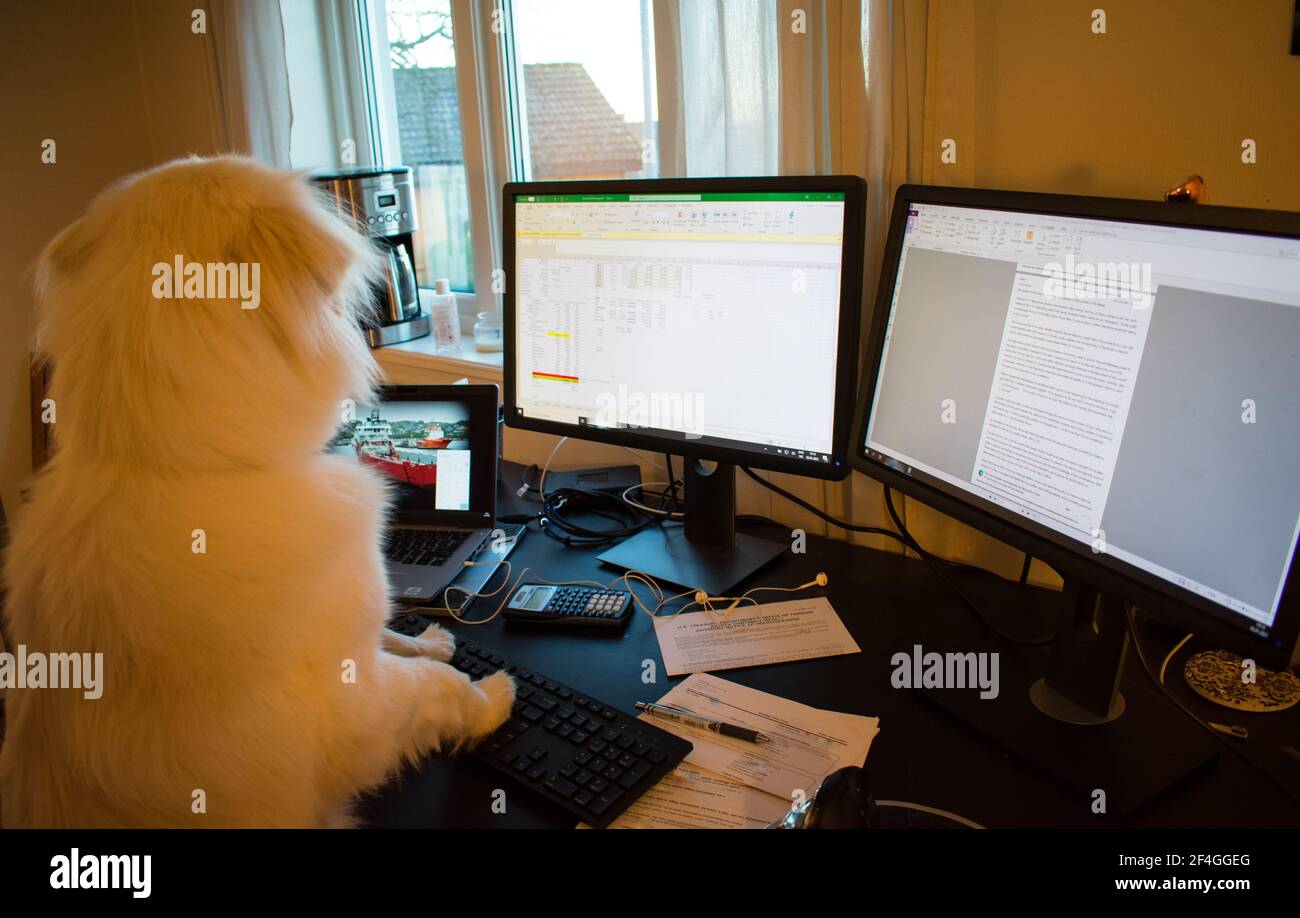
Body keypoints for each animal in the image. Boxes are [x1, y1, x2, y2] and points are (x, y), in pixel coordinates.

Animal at [1, 153, 517, 826]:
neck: (188, 460)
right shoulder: (351, 703)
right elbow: (436, 689)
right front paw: (493, 697)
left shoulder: (350, 620)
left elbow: (390, 633)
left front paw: (427, 639)